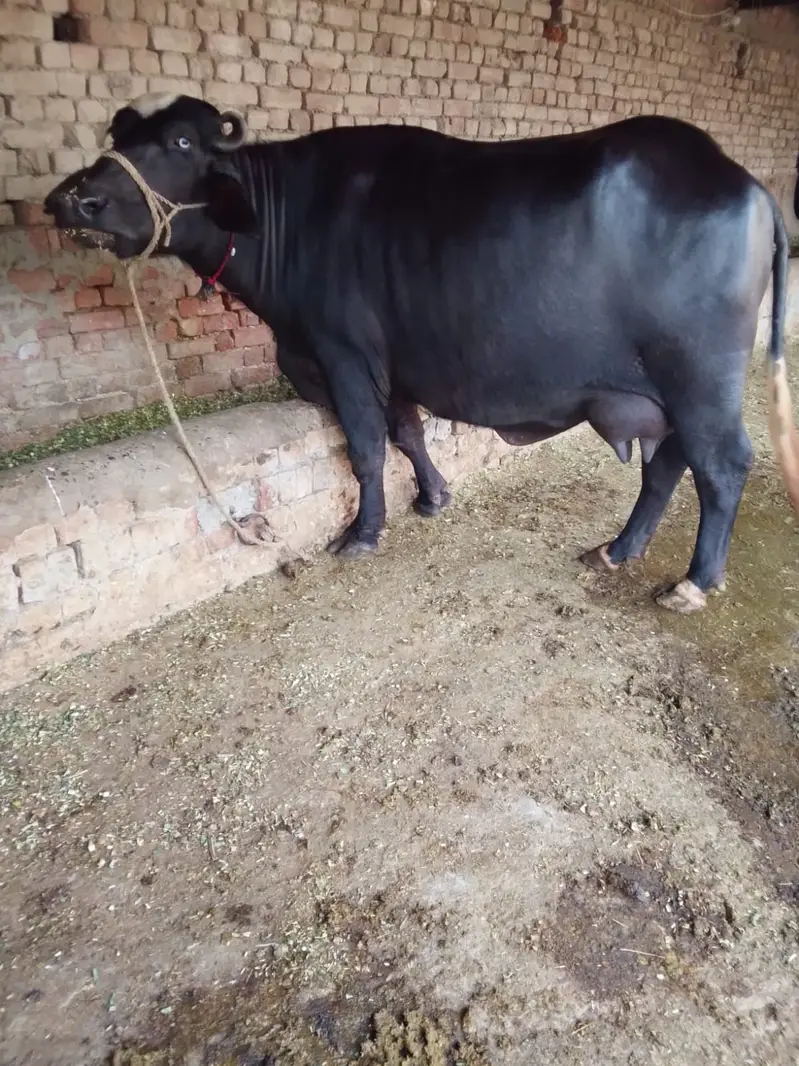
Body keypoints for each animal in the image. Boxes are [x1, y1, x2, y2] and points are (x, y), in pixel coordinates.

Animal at [44, 93, 799, 614]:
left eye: (177, 141)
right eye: (118, 137)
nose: (72, 200)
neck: (288, 219)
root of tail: (746, 186)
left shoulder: (343, 355)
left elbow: (365, 448)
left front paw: (363, 531)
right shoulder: (393, 362)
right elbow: (406, 431)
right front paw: (435, 495)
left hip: (699, 380)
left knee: (721, 465)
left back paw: (692, 582)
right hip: (667, 392)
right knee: (667, 463)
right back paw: (615, 550)